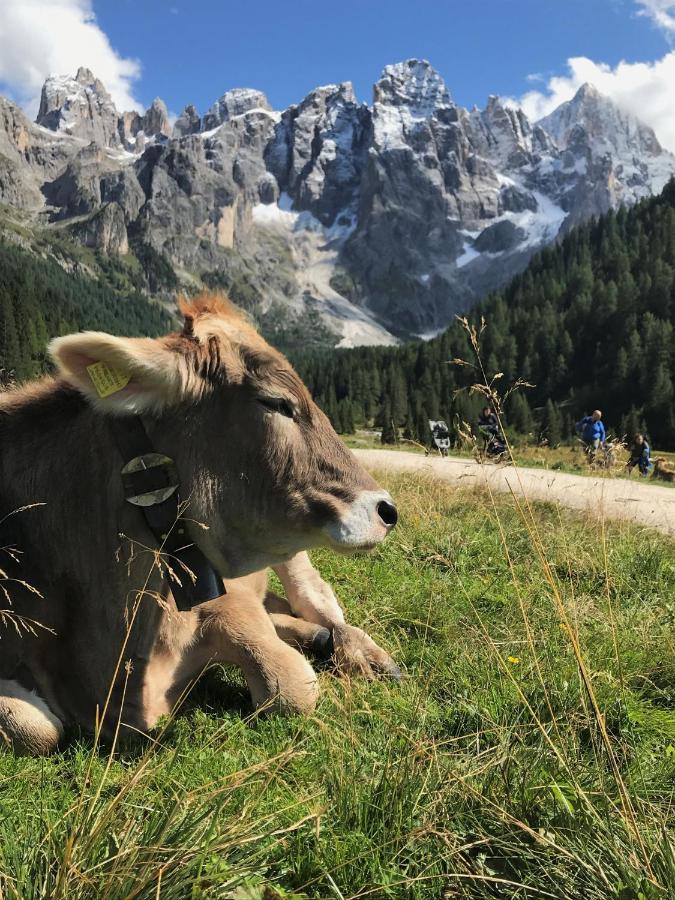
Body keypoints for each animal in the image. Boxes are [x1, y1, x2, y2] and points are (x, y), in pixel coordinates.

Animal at [0, 296, 398, 752]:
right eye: (277, 402)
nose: (387, 510)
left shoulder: (225, 598)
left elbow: (293, 686)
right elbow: (36, 727)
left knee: (316, 597)